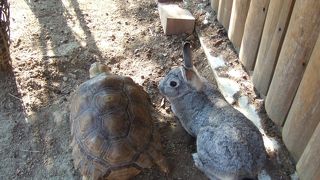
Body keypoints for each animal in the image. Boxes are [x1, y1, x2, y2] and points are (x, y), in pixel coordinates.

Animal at [159, 42, 266, 180]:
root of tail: (249, 169)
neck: (192, 91)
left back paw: (197, 160)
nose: (159, 87)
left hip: (205, 140)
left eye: (173, 83)